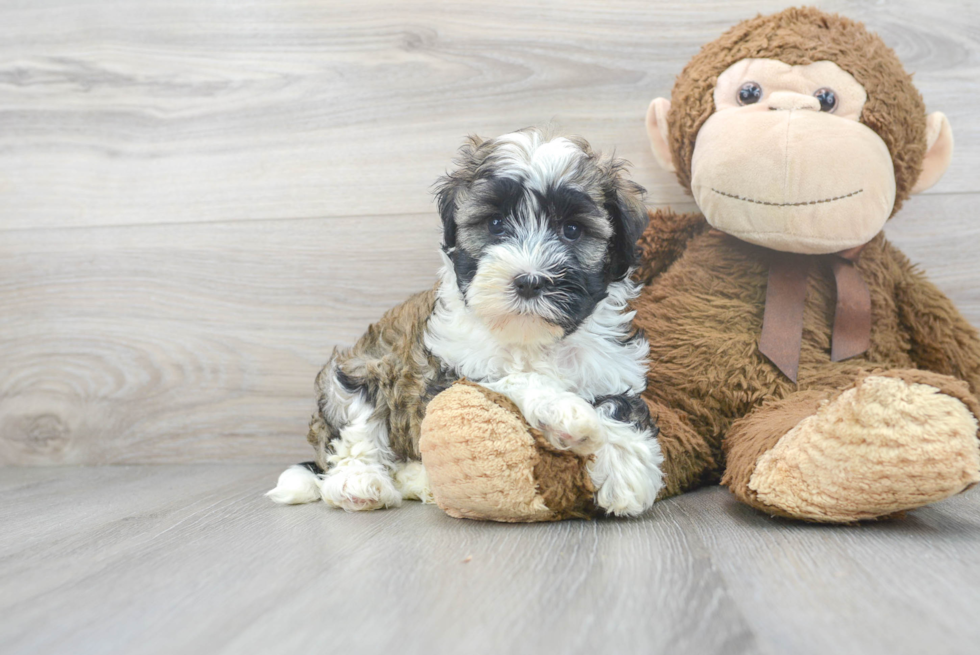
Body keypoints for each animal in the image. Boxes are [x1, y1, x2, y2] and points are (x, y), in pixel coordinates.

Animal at [268, 128, 668, 516]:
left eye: (572, 230)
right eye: (494, 224)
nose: (529, 281)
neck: (531, 339)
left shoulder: (610, 366)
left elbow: (620, 406)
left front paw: (627, 467)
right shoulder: (447, 375)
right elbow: (509, 379)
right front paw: (566, 412)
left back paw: (418, 481)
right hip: (358, 372)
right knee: (355, 431)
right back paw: (360, 483)